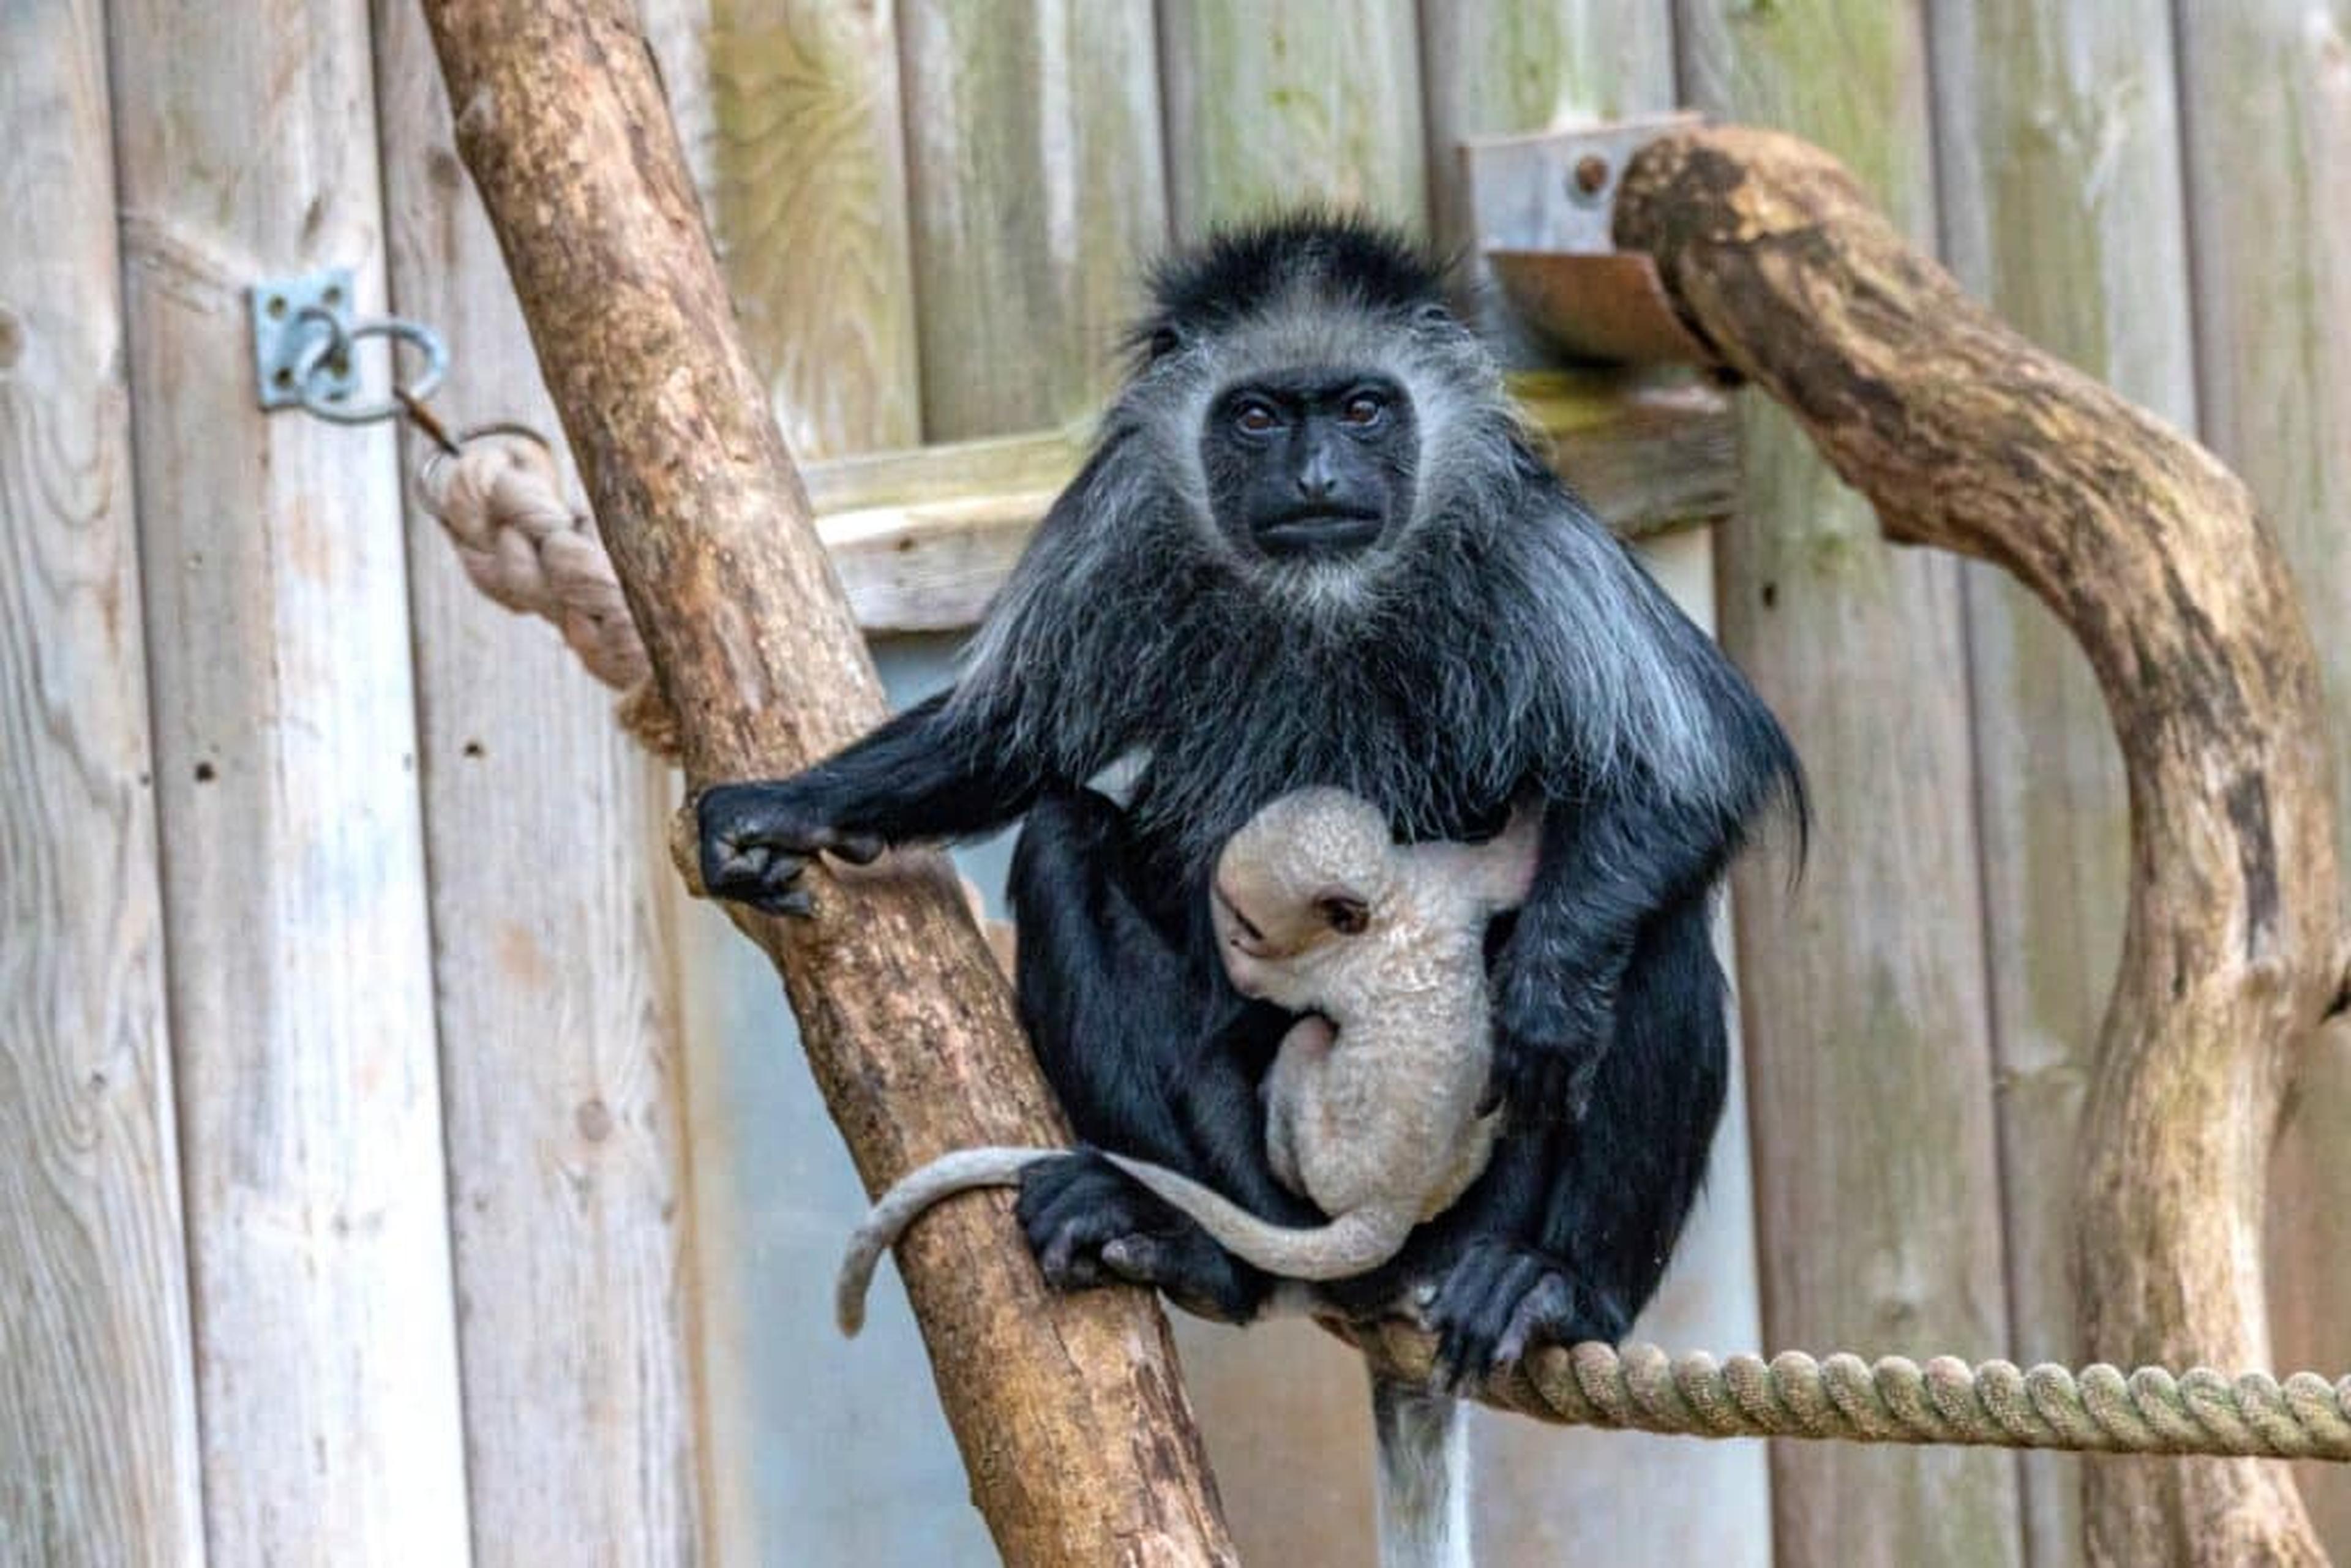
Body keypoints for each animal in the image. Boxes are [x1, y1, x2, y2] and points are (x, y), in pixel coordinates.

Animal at [833, 787, 1539, 1337]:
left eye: (1249, 923)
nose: (1231, 931)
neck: (1388, 909)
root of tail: (1386, 1210)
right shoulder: (1443, 877)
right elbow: (1513, 863)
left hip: (1326, 1160)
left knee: (1293, 1044)